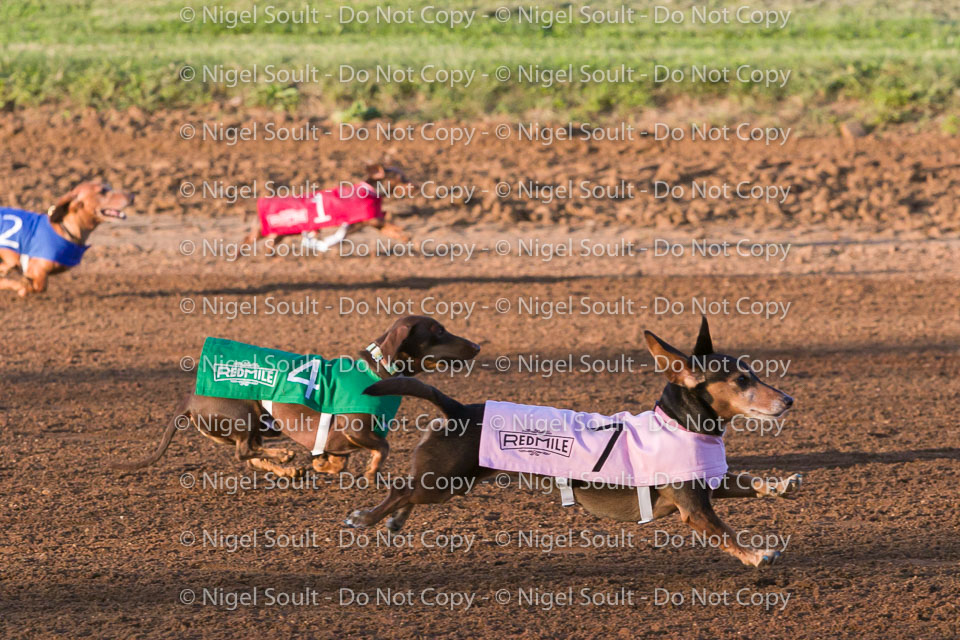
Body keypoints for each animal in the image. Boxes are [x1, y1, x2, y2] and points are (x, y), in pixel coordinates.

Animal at [352, 318, 804, 568]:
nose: (788, 400)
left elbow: (749, 481)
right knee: (400, 490)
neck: (680, 424)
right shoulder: (693, 506)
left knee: (407, 493)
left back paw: (394, 522)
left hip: (445, 485)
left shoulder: (710, 481)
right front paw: (757, 555)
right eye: (742, 380)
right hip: (446, 479)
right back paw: (367, 518)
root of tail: (459, 408)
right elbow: (725, 532)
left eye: (753, 373)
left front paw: (780, 485)